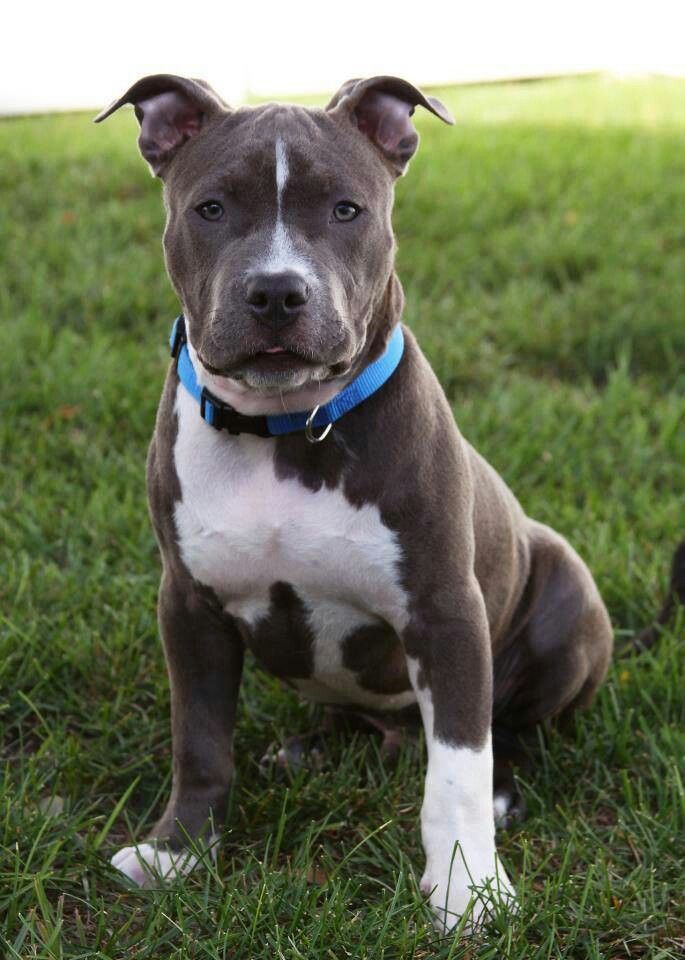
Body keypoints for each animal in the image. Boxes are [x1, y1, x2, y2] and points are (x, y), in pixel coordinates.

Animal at [92, 75, 616, 928]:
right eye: (210, 208)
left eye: (346, 210)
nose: (276, 291)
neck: (284, 428)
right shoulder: (189, 605)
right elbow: (197, 739)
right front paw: (179, 853)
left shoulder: (444, 611)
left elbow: (458, 767)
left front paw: (468, 890)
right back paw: (307, 749)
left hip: (565, 594)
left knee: (512, 728)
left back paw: (501, 790)